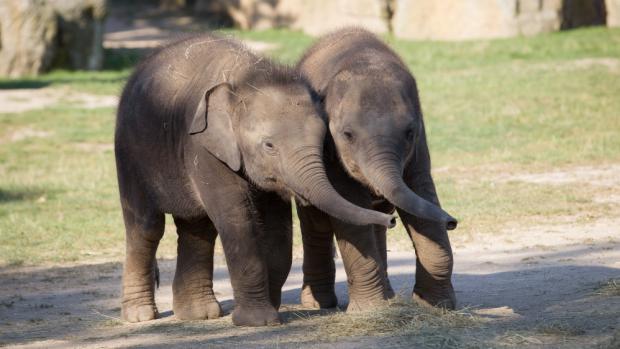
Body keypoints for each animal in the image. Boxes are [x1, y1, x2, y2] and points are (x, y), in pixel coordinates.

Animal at [114, 34, 394, 324]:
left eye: (322, 140)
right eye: (269, 145)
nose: (391, 219)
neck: (246, 77)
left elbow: (277, 230)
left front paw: (270, 308)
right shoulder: (203, 148)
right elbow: (237, 220)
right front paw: (258, 321)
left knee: (198, 227)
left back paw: (199, 315)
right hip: (128, 153)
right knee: (146, 227)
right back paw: (140, 316)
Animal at [298, 27, 458, 310]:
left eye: (409, 132)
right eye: (347, 135)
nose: (452, 222)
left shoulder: (419, 146)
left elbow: (421, 193)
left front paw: (436, 305)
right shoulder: (330, 153)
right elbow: (351, 209)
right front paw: (369, 310)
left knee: (377, 220)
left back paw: (389, 297)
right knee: (316, 223)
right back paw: (318, 305)